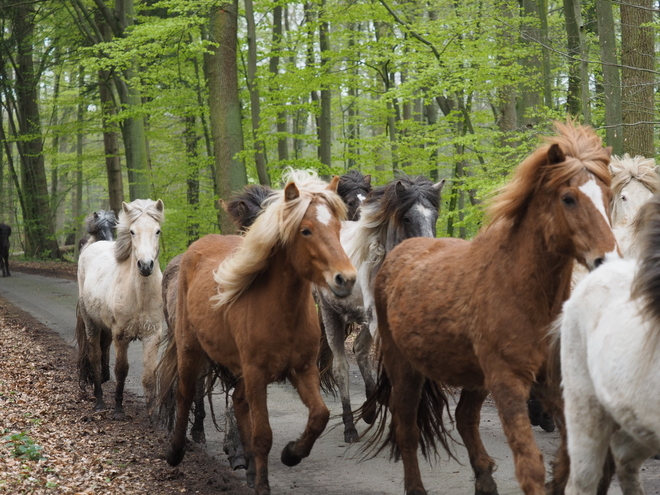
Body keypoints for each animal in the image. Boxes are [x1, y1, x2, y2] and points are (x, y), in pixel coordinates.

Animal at [76, 200, 164, 420]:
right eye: (132, 231)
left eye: (157, 231)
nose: (145, 266)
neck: (139, 295)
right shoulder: (121, 336)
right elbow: (121, 370)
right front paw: (118, 409)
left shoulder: (152, 335)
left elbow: (149, 375)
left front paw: (152, 415)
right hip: (92, 324)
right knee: (95, 357)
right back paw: (99, 402)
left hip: (106, 328)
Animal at [157, 170, 356, 495]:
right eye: (305, 231)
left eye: (338, 227)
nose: (346, 279)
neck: (283, 313)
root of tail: (193, 249)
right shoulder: (256, 373)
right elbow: (263, 434)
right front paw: (263, 484)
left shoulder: (302, 370)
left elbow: (319, 416)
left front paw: (291, 453)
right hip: (191, 349)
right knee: (186, 393)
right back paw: (175, 451)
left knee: (238, 403)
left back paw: (247, 465)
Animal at [366, 121, 620, 495]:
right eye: (568, 198)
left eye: (609, 197)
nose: (607, 260)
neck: (520, 291)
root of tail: (399, 254)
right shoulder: (508, 381)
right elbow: (530, 465)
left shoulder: (550, 382)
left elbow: (569, 458)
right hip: (406, 368)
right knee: (407, 427)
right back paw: (417, 487)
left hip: (474, 376)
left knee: (464, 417)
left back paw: (485, 478)